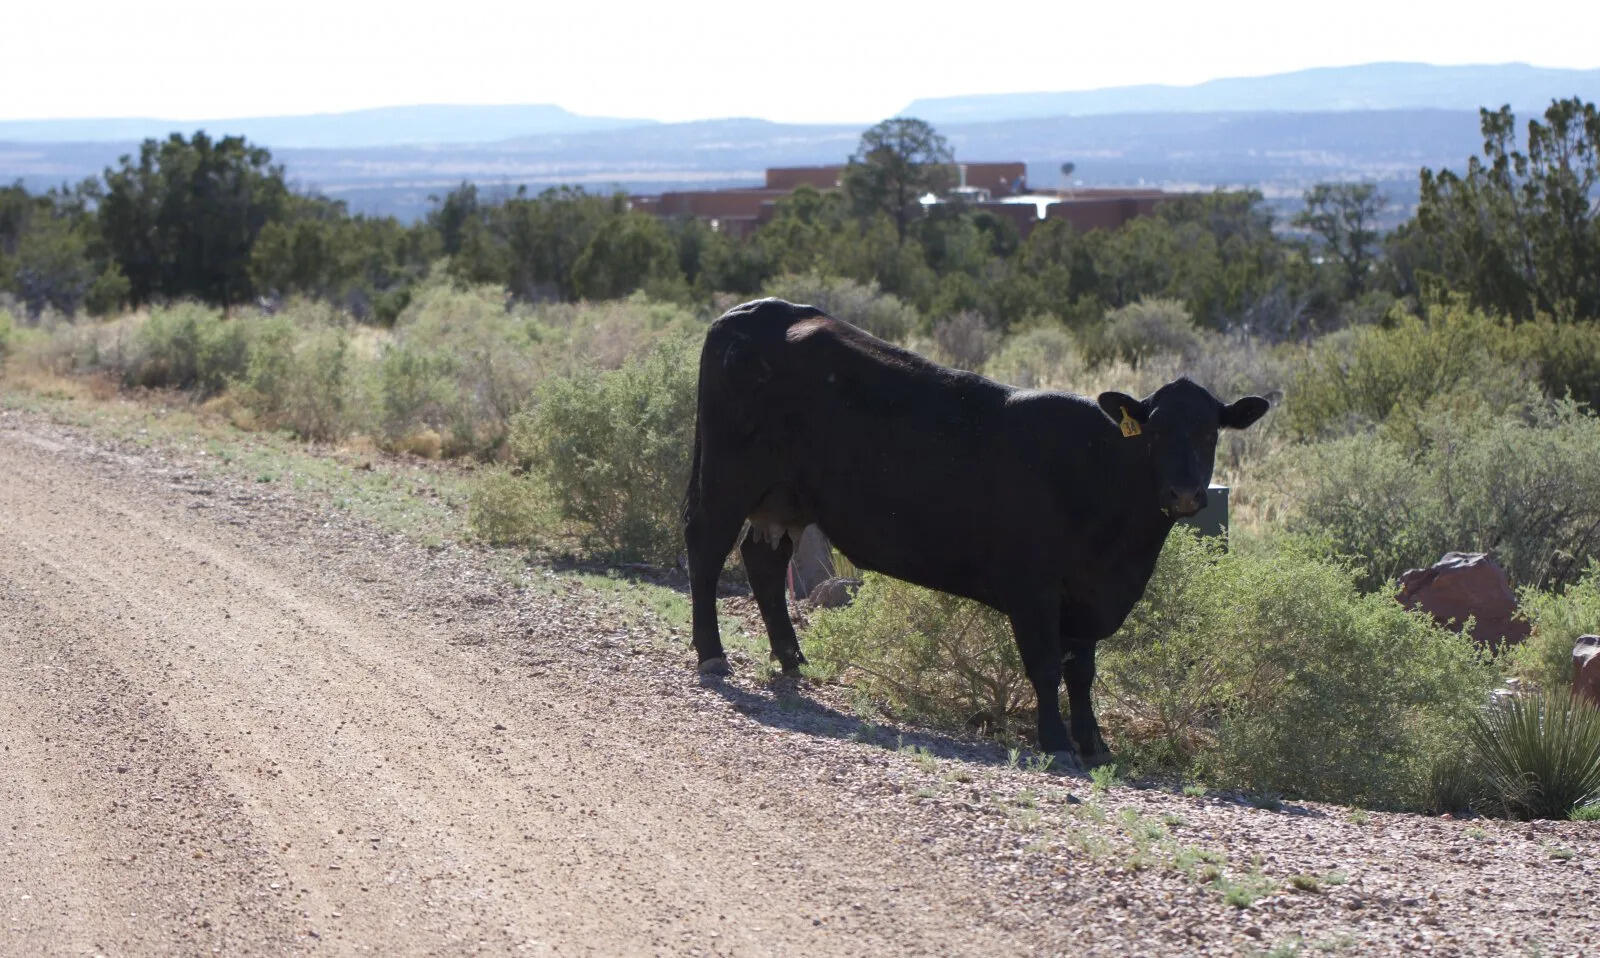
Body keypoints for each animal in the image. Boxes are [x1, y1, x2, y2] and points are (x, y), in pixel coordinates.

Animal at [681, 300, 1267, 764]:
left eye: (1211, 431)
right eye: (1156, 431)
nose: (1186, 494)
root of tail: (751, 312)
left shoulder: (1089, 595)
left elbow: (1082, 672)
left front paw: (1095, 743)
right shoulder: (1033, 588)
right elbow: (1046, 666)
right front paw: (1056, 742)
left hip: (785, 500)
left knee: (764, 562)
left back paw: (793, 659)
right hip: (727, 480)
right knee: (706, 549)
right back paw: (712, 654)